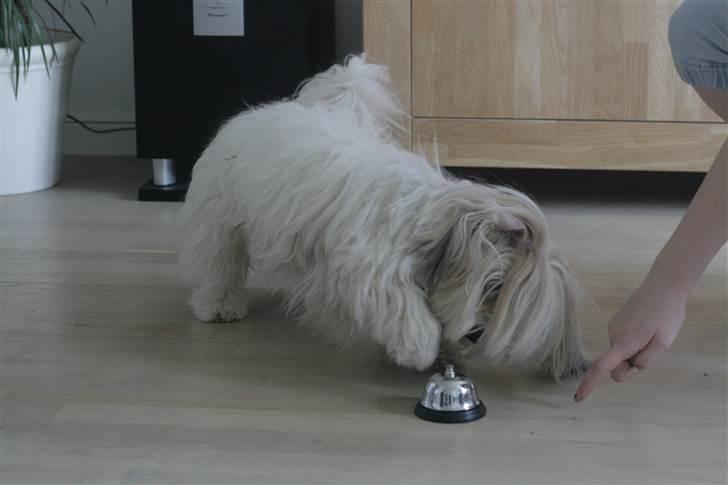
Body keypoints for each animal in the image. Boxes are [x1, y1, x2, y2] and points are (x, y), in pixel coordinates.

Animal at [179, 54, 588, 378]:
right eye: (494, 287)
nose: (477, 335)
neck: (430, 222)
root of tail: (257, 113)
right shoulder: (368, 268)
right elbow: (403, 306)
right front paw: (420, 346)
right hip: (221, 223)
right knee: (219, 264)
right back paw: (218, 306)